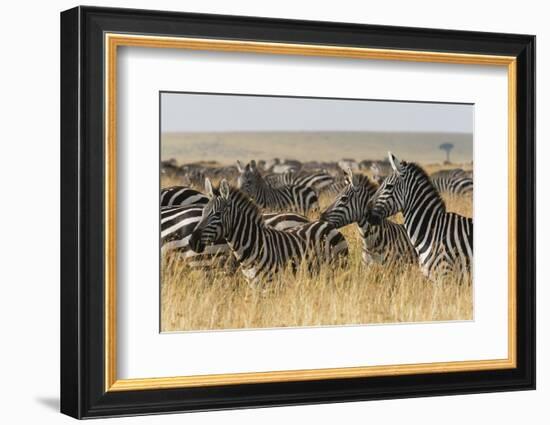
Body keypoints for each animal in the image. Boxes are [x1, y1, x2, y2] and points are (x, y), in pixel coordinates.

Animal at [190, 178, 350, 282]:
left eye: (217, 214)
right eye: (203, 212)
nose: (192, 241)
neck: (253, 245)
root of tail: (328, 225)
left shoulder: (270, 284)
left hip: (338, 269)